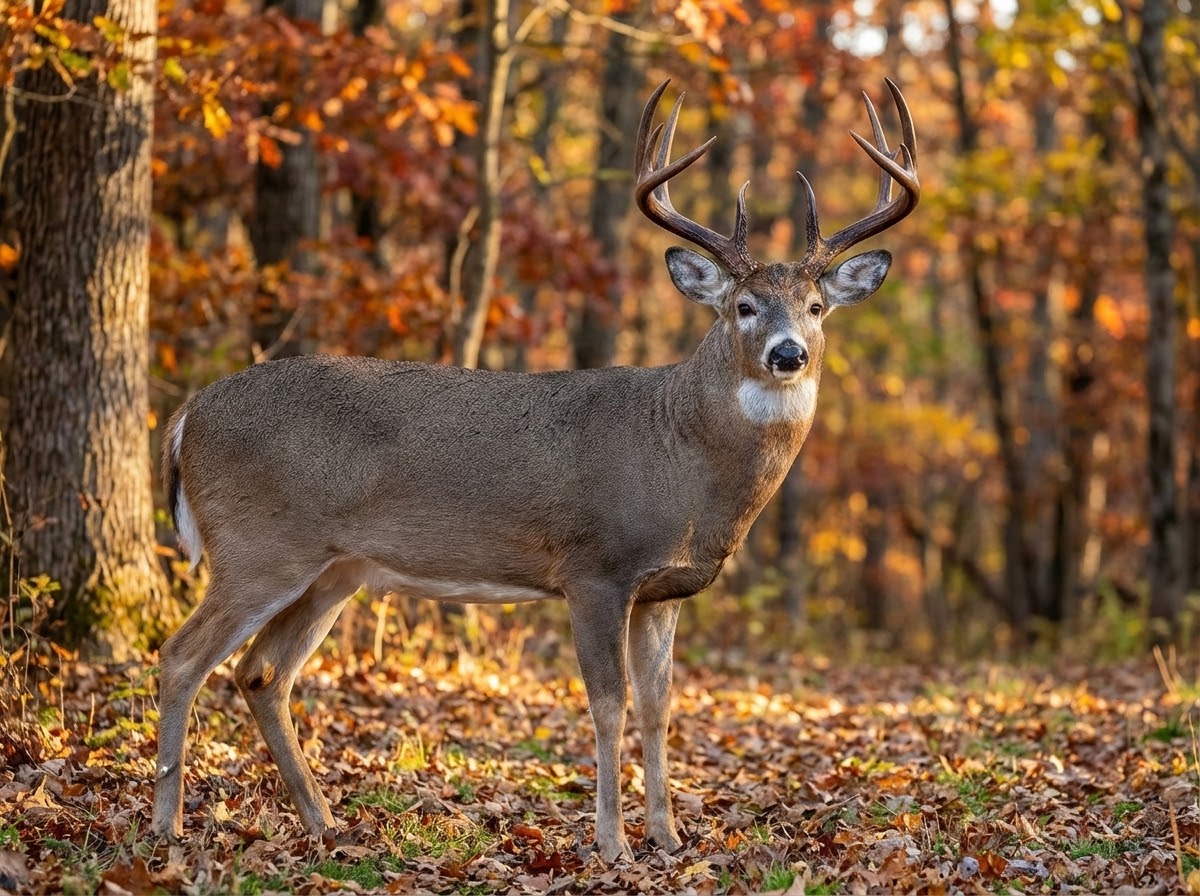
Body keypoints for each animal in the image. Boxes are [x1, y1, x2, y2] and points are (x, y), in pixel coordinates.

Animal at [151, 78, 919, 863]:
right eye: (743, 306)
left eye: (817, 306)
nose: (789, 353)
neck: (682, 457)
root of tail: (186, 415)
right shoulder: (594, 568)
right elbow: (608, 705)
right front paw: (613, 844)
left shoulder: (663, 591)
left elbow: (659, 705)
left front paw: (668, 836)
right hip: (258, 546)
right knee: (180, 658)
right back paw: (166, 826)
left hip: (334, 570)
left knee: (262, 673)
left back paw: (325, 823)